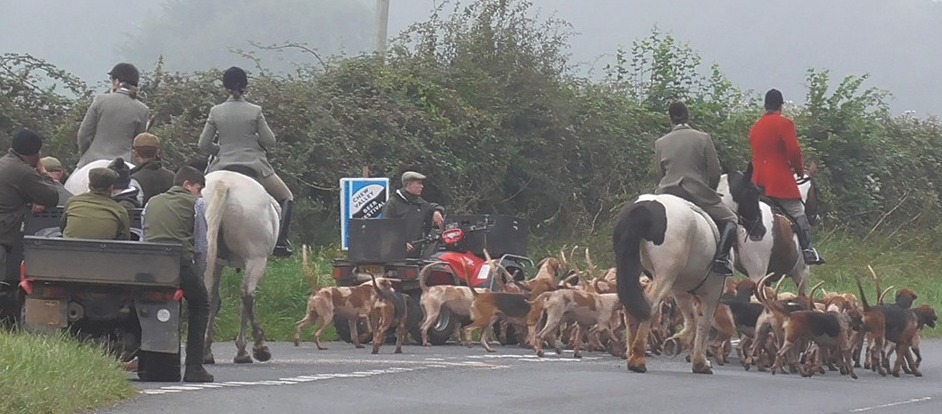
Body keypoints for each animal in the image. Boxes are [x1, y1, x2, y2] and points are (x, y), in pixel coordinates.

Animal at [203, 170, 280, 364]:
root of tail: (223, 183)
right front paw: (243, 350)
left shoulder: (217, 263)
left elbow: (213, 300)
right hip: (257, 260)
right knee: (246, 294)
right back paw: (260, 346)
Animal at [616, 192, 728, 374]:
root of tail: (647, 206)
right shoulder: (713, 292)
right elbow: (704, 324)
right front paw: (700, 362)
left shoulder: (680, 291)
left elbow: (692, 319)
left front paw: (678, 342)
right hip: (665, 275)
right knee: (651, 305)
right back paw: (638, 359)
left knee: (632, 307)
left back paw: (631, 354)